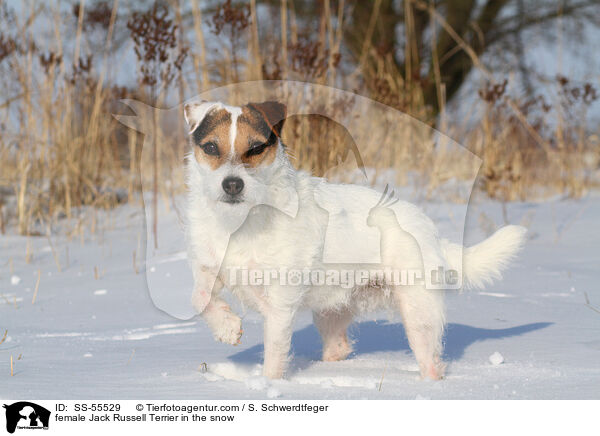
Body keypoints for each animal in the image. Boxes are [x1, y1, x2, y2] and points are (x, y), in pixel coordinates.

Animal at [183, 100, 524, 380]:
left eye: (255, 149)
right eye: (211, 148)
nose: (232, 185)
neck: (240, 221)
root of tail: (430, 230)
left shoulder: (280, 304)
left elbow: (274, 355)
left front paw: (268, 386)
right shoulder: (209, 268)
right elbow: (199, 298)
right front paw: (227, 327)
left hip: (418, 311)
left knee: (431, 362)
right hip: (330, 311)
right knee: (339, 348)